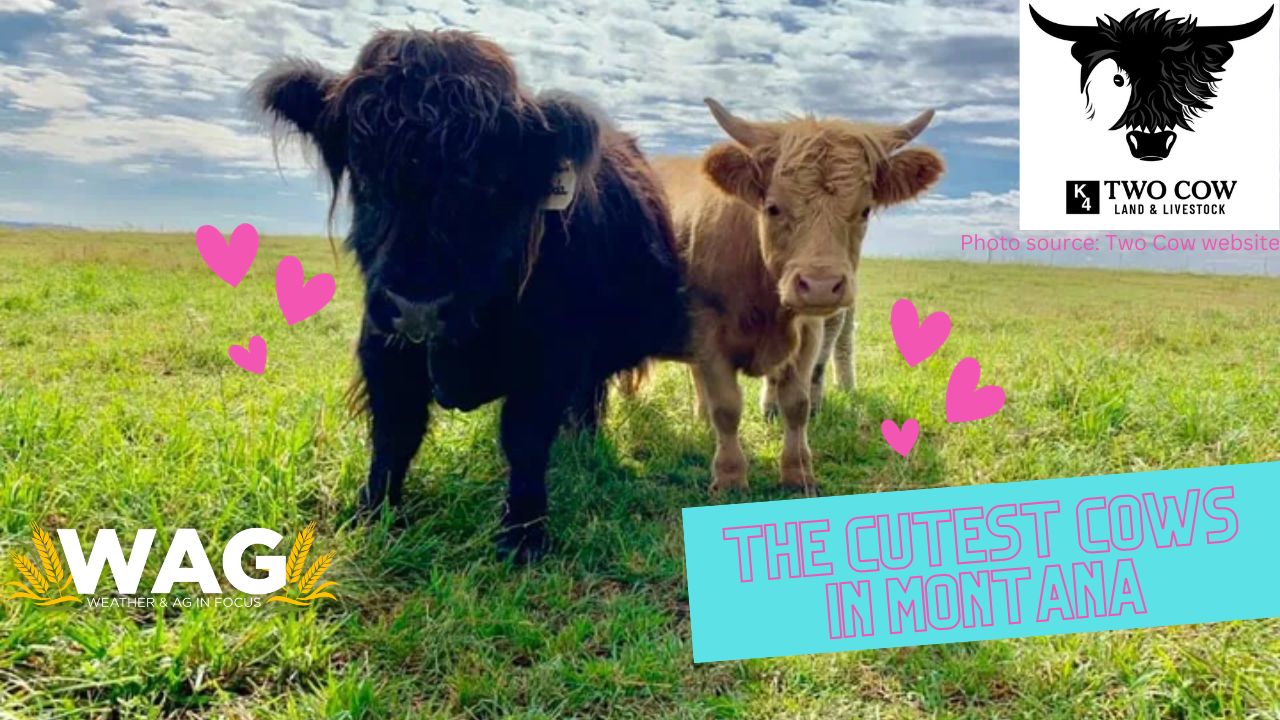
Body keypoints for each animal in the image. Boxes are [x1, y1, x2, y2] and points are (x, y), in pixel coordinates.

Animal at [254, 29, 689, 562]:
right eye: (363, 169)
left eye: (493, 180)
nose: (418, 306)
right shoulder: (383, 345)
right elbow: (395, 430)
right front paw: (373, 512)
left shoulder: (553, 355)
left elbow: (524, 437)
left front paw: (523, 537)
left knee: (588, 395)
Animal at [654, 99, 943, 494]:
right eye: (773, 207)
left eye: (865, 210)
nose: (821, 284)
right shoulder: (708, 332)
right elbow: (726, 407)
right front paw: (729, 478)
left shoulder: (809, 333)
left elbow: (797, 404)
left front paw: (798, 473)